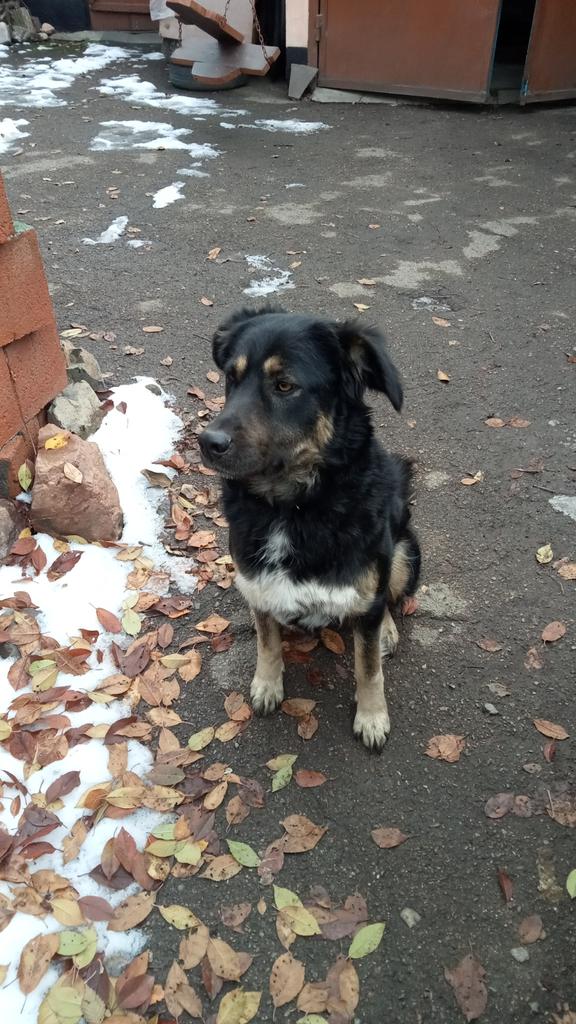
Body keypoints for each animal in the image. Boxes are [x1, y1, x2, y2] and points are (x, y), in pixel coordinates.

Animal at [199, 306, 421, 750]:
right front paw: (267, 685)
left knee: (387, 597)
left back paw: (386, 629)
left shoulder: (368, 582)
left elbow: (368, 666)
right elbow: (267, 643)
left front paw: (372, 717)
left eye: (285, 385)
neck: (293, 507)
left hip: (405, 550)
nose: (207, 442)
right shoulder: (257, 584)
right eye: (232, 377)